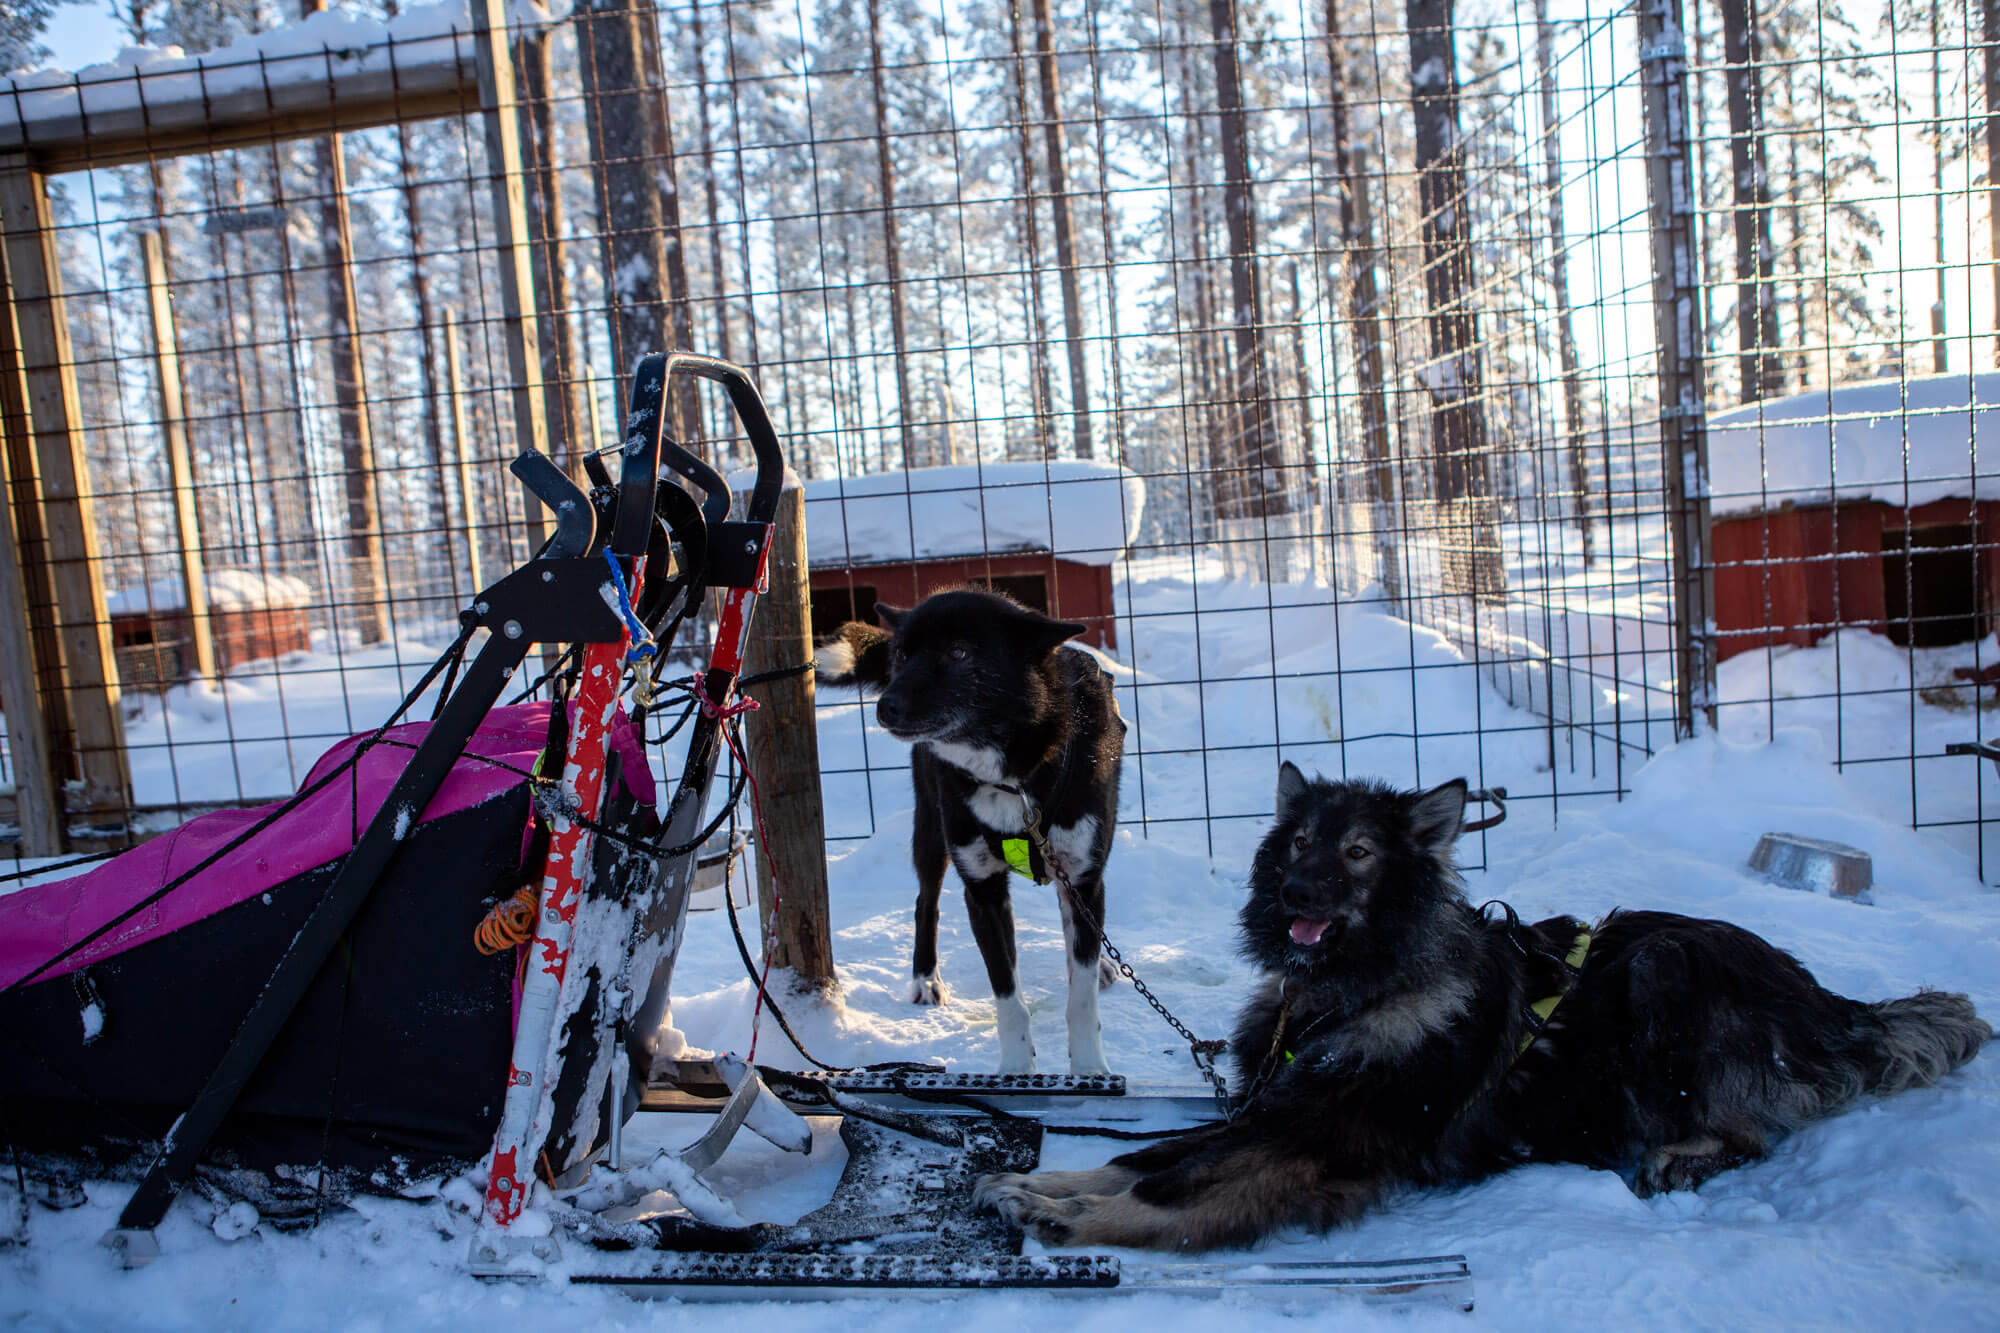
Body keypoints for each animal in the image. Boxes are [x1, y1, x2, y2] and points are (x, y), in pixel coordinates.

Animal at [816, 588, 1128, 1072]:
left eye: (959, 652)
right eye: (902, 654)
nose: (886, 707)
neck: (1013, 776)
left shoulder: (1083, 876)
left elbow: (1081, 995)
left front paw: (1091, 1070)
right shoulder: (983, 891)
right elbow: (1008, 997)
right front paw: (1017, 1071)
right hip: (931, 831)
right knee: (925, 903)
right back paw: (925, 978)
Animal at [972, 756, 1984, 1248]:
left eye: (1357, 853)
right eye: (1298, 839)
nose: (1294, 890)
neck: (1361, 991)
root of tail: (1835, 1005)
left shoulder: (1323, 1143)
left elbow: (1171, 1193)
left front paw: (1077, 1219)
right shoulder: (1278, 1109)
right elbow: (1141, 1157)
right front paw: (1048, 1185)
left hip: (1664, 961)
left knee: (1750, 1128)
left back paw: (1679, 1156)